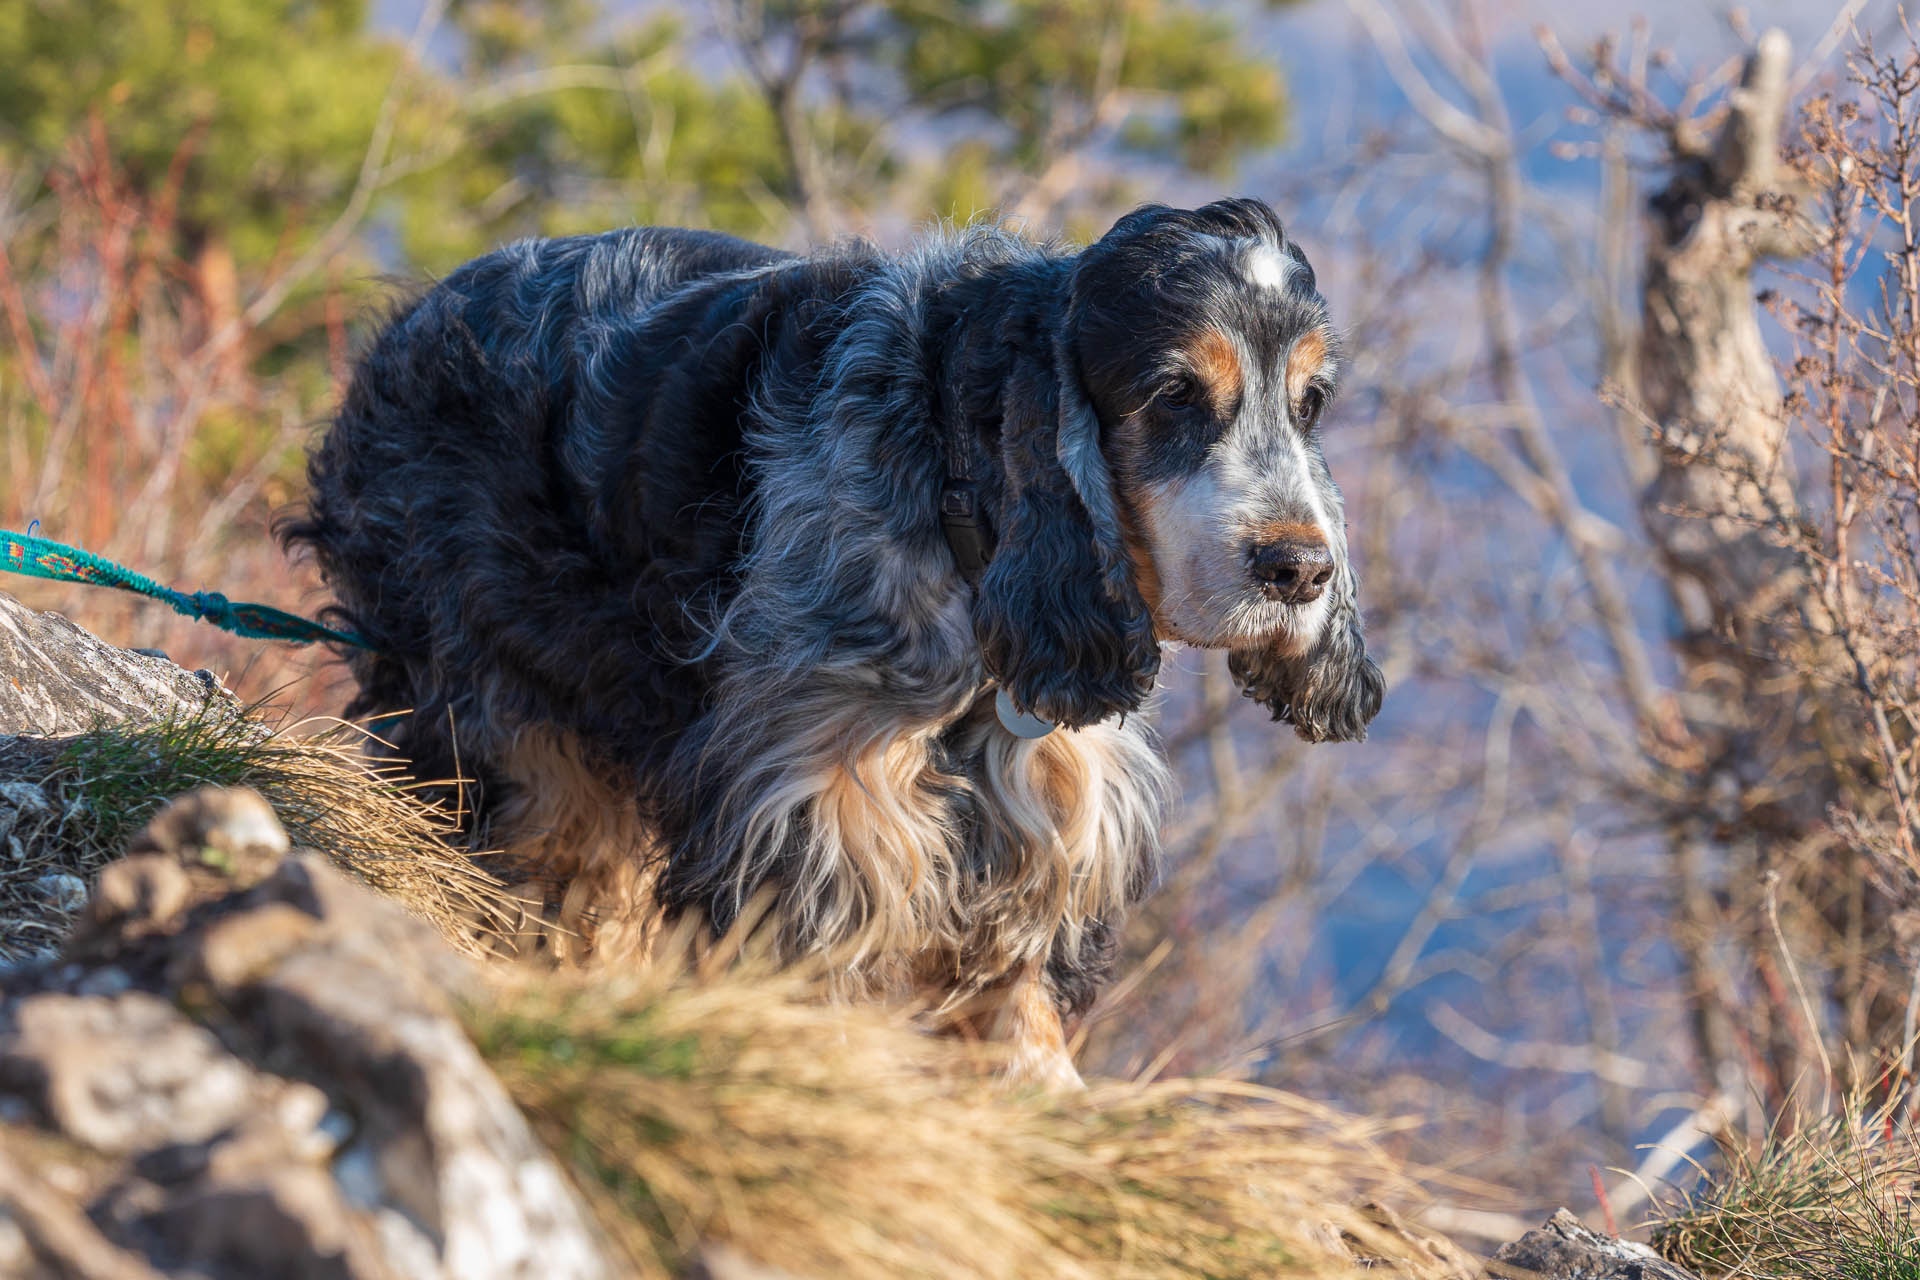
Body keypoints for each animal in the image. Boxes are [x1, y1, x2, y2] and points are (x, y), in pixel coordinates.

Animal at [288, 195, 1382, 1090]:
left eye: (1311, 403)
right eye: (1172, 395)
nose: (1301, 569)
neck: (959, 501)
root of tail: (408, 325)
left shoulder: (1050, 804)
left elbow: (1020, 997)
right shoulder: (819, 806)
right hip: (501, 705)